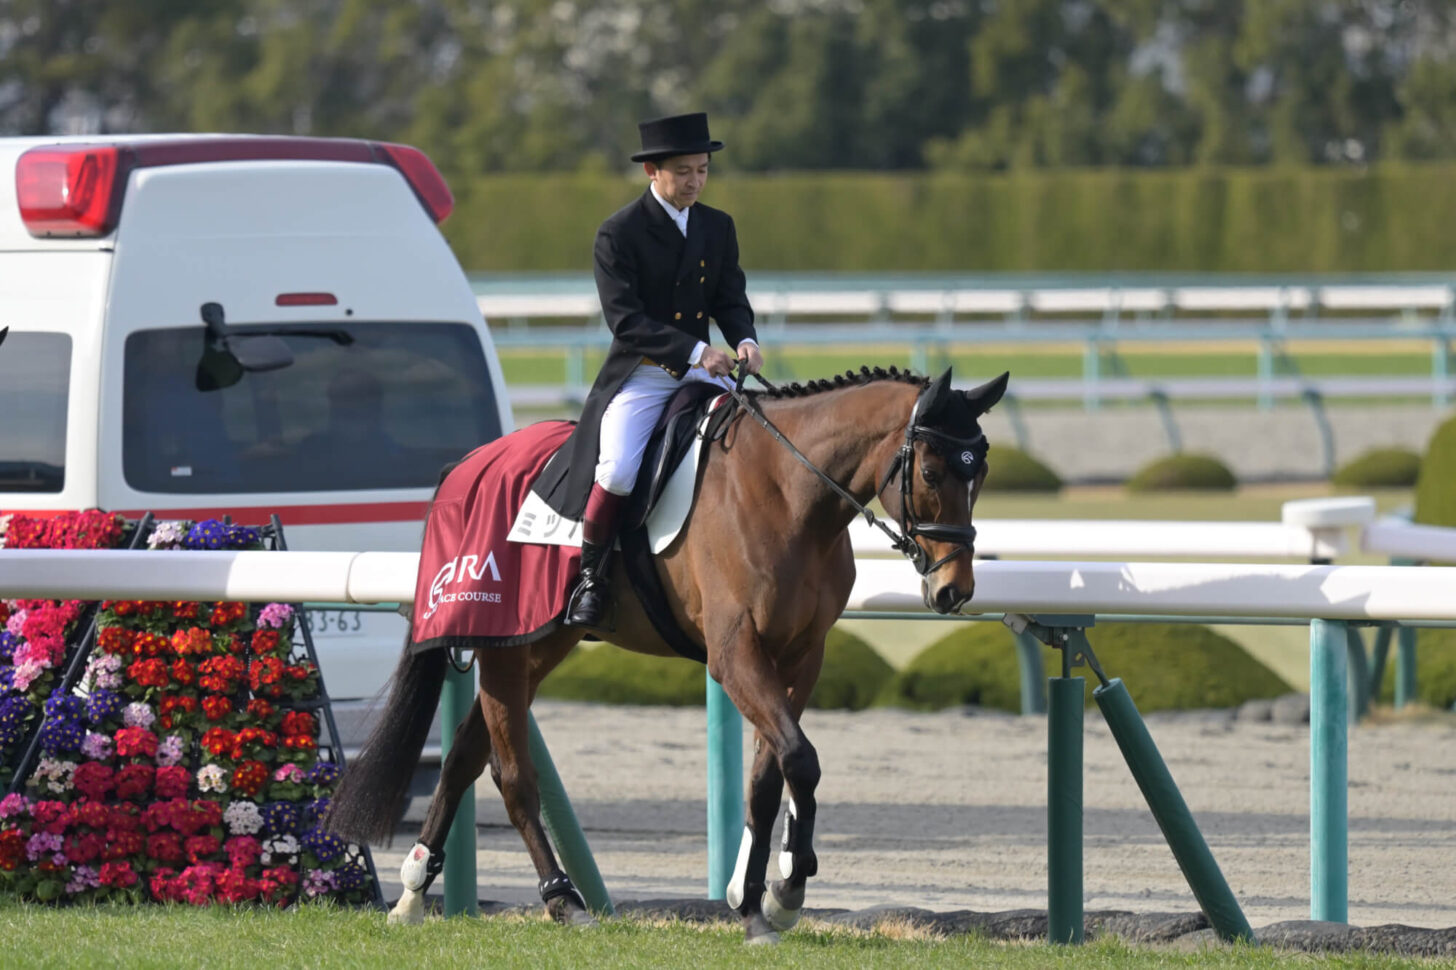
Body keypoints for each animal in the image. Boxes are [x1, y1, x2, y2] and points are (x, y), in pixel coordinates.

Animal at [327, 362, 1013, 937]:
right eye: (931, 473)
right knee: (512, 774)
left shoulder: (800, 657)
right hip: (503, 641)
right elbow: (801, 759)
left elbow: (771, 774)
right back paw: (563, 901)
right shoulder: (735, 654)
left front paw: (756, 902)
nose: (953, 590)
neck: (791, 495)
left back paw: (413, 893)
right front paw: (786, 891)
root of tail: (467, 464)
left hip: (538, 641)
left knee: (465, 754)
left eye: (980, 472)